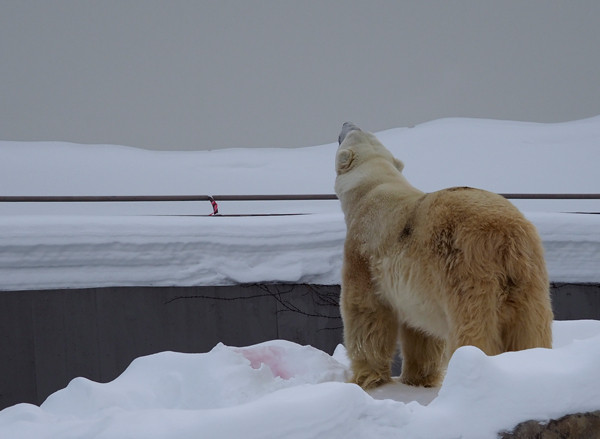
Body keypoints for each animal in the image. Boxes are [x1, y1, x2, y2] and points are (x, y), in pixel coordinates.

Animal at [336, 122, 552, 390]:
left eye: (350, 133)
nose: (346, 123)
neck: (373, 187)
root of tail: (506, 234)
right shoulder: (417, 285)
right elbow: (421, 330)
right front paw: (418, 379)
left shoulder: (363, 250)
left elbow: (365, 312)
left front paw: (365, 377)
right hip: (528, 276)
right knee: (531, 329)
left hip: (467, 271)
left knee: (473, 331)